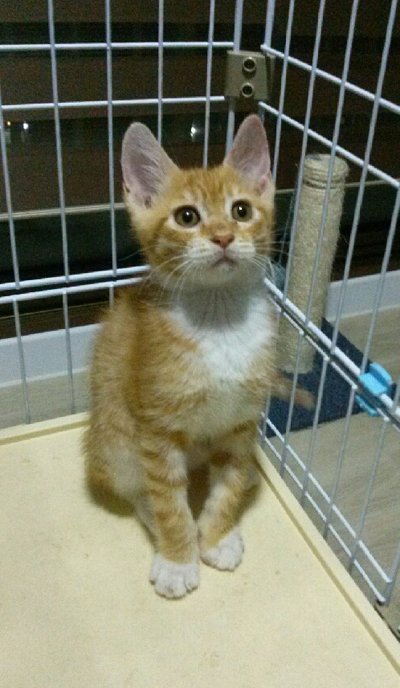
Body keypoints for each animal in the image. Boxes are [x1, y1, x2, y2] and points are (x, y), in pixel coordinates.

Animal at [84, 114, 305, 599]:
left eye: (241, 210)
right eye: (187, 217)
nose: (223, 236)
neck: (220, 324)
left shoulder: (242, 423)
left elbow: (229, 484)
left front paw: (218, 534)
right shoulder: (157, 429)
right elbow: (168, 499)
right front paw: (178, 557)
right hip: (115, 440)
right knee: (138, 488)